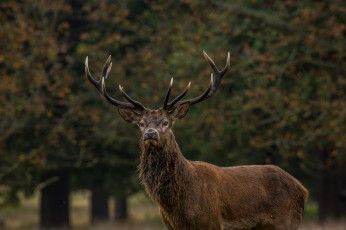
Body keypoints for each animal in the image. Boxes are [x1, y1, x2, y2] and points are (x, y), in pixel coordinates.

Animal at [86, 51, 308, 229]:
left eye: (166, 122)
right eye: (141, 123)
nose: (150, 134)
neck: (177, 205)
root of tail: (302, 189)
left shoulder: (212, 222)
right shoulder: (170, 225)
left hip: (286, 220)